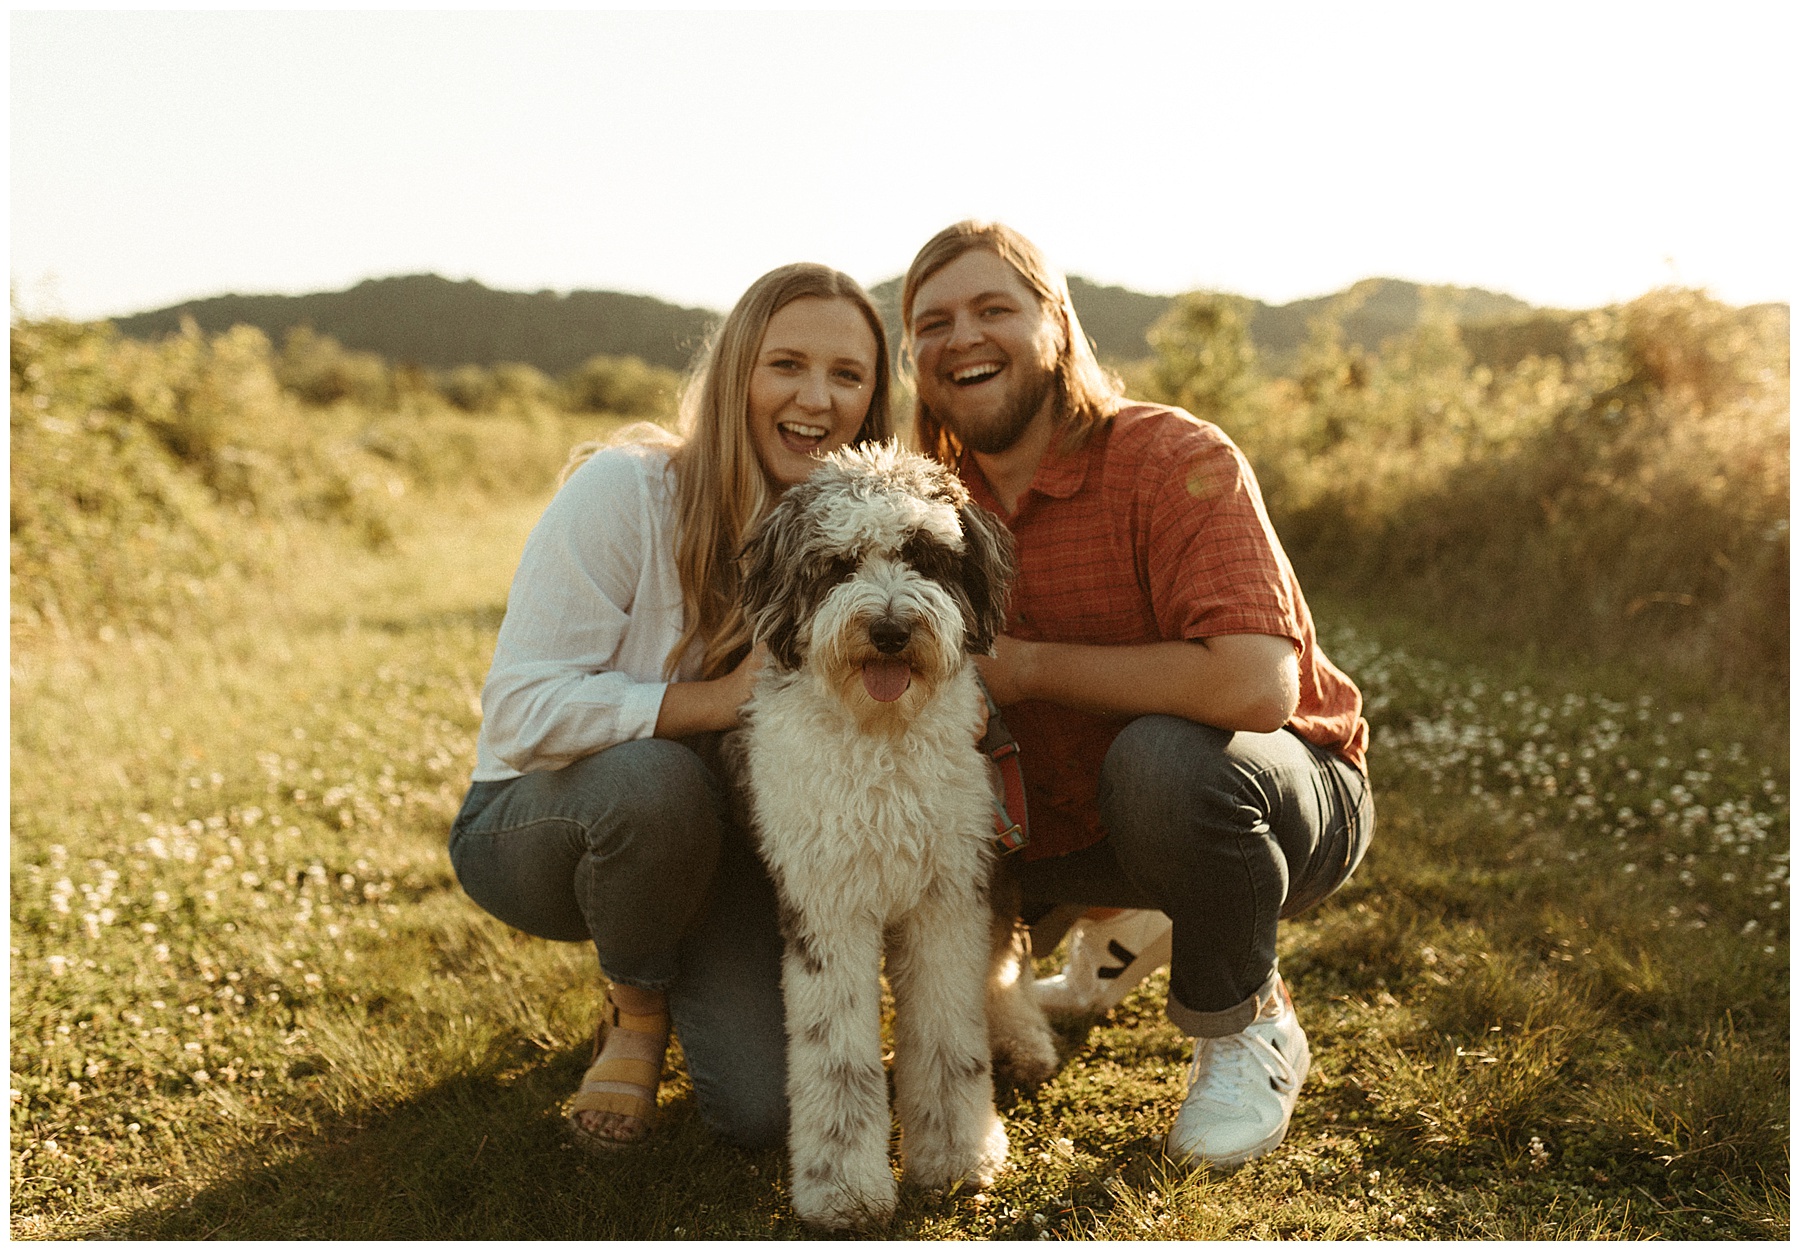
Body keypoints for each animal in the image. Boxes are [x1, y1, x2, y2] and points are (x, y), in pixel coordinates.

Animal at [727, 442, 1051, 1231]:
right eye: (839, 565)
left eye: (923, 555)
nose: (891, 630)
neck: (881, 741)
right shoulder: (827, 907)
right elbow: (835, 1055)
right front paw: (843, 1190)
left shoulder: (948, 896)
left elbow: (947, 1035)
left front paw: (957, 1157)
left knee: (1005, 959)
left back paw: (1023, 1038)